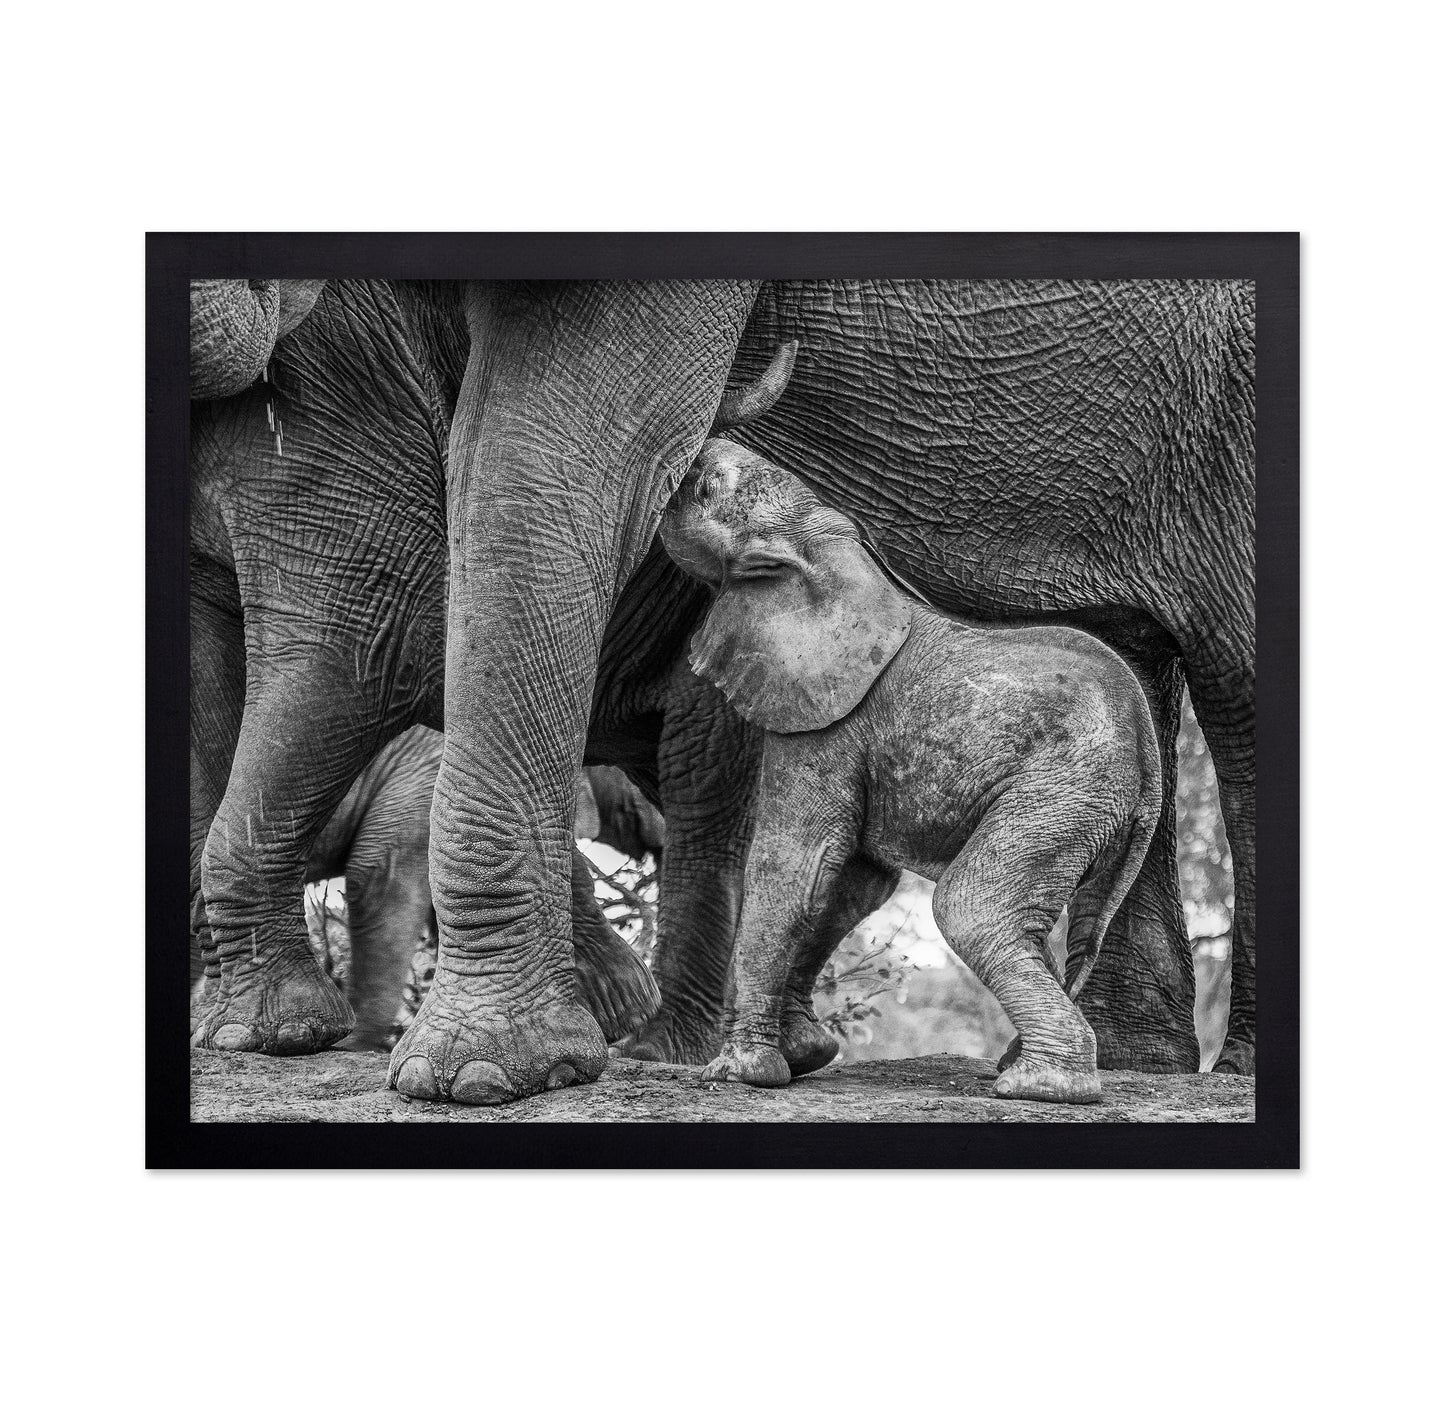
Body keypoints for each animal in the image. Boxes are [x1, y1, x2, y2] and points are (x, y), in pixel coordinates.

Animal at [660, 439, 1162, 1104]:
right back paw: (1020, 1067)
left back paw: (1037, 1085)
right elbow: (850, 884)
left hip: (1061, 791)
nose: (696, 451)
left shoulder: (829, 721)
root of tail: (1150, 760)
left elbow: (796, 866)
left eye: (708, 486)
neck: (832, 550)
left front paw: (739, 1075)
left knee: (971, 906)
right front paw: (805, 1055)